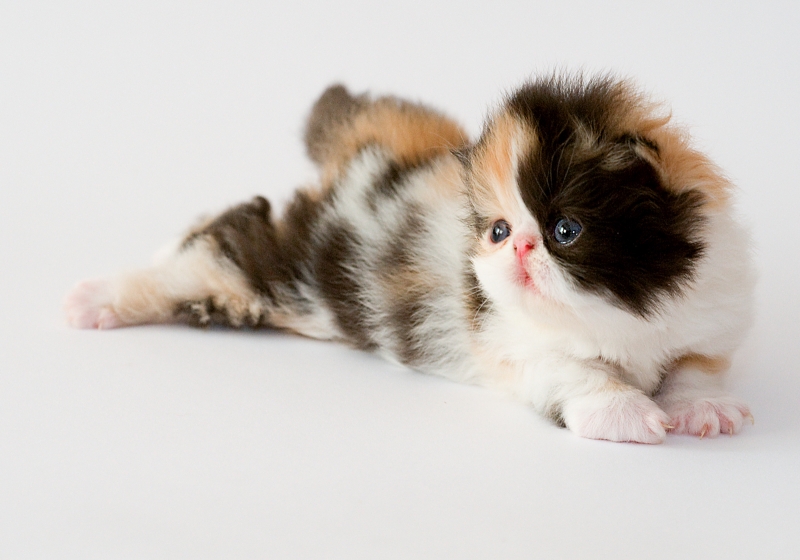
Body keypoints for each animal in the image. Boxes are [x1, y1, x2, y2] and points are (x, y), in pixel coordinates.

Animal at [64, 74, 755, 444]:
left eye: (566, 229)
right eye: (498, 230)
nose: (520, 248)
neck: (621, 314)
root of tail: (365, 147)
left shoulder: (706, 320)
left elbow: (696, 367)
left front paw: (703, 410)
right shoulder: (512, 345)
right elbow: (576, 371)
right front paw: (629, 413)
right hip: (288, 271)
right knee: (216, 245)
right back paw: (94, 300)